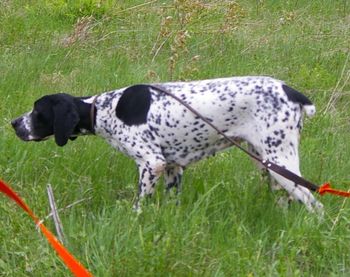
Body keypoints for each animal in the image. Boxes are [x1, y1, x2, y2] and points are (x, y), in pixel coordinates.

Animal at [10, 75, 322, 211]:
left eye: (37, 111)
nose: (14, 123)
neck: (104, 110)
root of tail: (293, 92)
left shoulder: (151, 164)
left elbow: (139, 205)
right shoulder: (173, 168)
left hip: (280, 162)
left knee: (314, 203)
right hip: (268, 164)